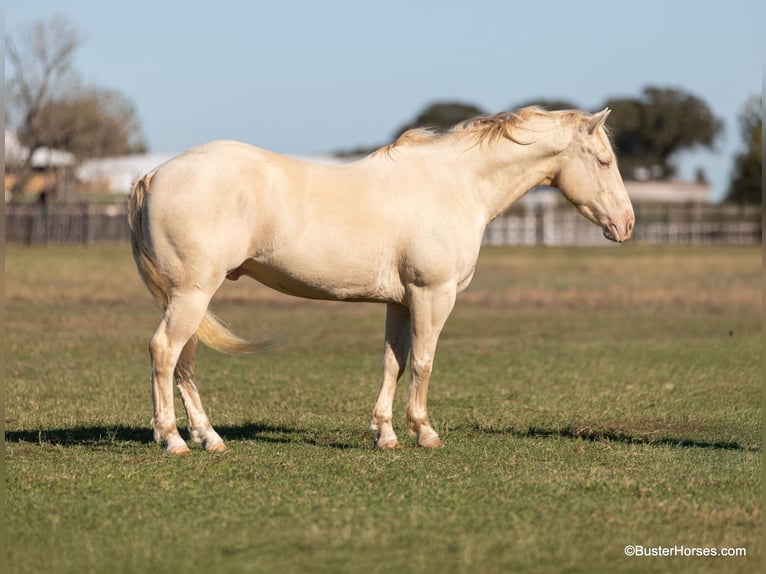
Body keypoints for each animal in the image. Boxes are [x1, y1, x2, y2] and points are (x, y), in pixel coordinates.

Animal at [128, 106, 634, 454]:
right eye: (604, 161)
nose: (626, 224)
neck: (456, 185)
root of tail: (154, 173)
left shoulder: (401, 302)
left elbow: (395, 362)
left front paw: (385, 433)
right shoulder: (433, 296)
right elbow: (424, 362)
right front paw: (424, 432)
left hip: (186, 297)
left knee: (184, 362)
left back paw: (208, 437)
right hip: (192, 294)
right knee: (164, 352)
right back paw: (173, 439)